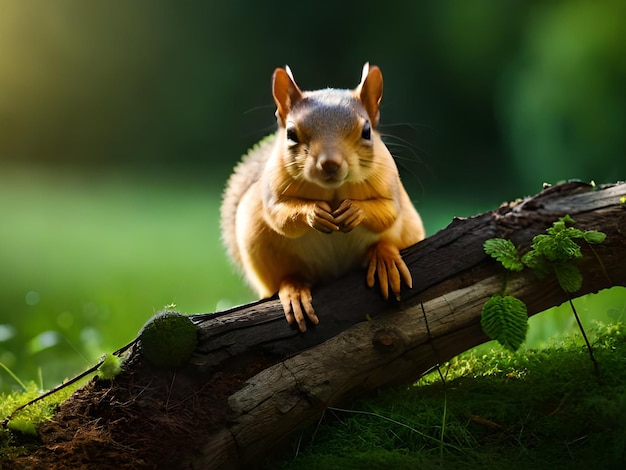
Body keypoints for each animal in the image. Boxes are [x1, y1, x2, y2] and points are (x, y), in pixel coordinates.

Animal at [219, 64, 424, 332]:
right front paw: (313, 213)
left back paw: (384, 259)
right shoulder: (271, 193)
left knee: (387, 240)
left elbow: (388, 212)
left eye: (367, 131)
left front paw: (354, 211)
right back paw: (293, 289)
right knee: (285, 276)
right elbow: (279, 215)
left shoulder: (390, 187)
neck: (333, 190)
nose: (330, 163)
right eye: (291, 134)